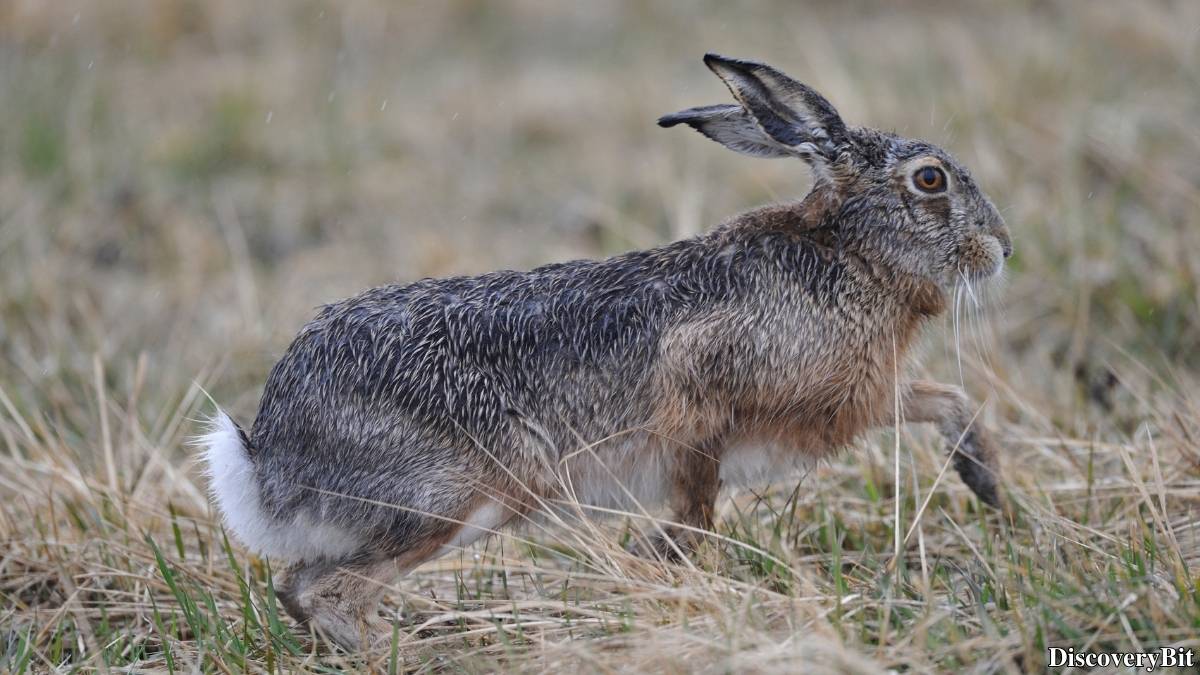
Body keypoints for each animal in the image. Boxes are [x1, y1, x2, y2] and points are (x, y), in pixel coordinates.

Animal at [201, 53, 1012, 651]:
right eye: (930, 179)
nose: (1002, 248)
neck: (850, 254)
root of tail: (268, 457)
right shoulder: (704, 404)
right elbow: (696, 509)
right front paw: (670, 571)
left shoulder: (858, 399)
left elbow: (945, 399)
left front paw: (987, 487)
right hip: (459, 496)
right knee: (323, 590)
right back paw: (393, 651)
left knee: (302, 586)